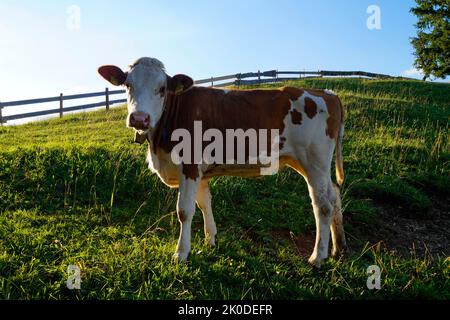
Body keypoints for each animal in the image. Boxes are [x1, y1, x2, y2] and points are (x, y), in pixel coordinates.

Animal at [97, 57, 344, 268]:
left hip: (314, 161)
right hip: (309, 164)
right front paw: (210, 240)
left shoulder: (190, 165)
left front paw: (181, 253)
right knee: (334, 194)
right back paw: (337, 248)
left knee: (322, 204)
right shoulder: (199, 173)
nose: (140, 118)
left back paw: (317, 256)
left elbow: (184, 210)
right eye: (128, 85)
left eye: (162, 89)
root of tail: (327, 93)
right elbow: (204, 203)